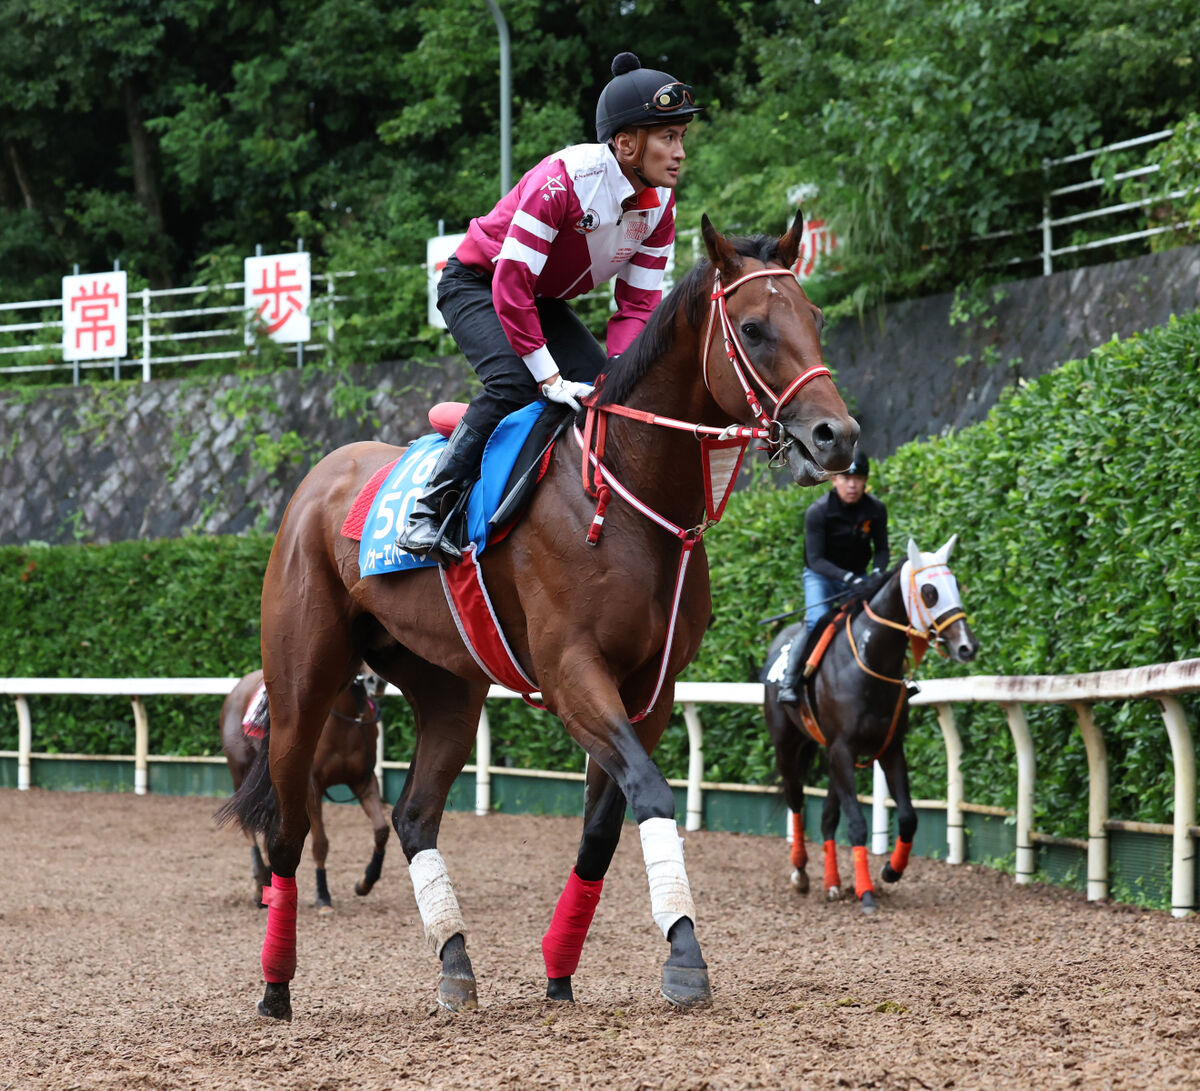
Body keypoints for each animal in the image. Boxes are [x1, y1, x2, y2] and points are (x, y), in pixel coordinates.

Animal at [216, 662, 384, 912]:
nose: (377, 681)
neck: (346, 721)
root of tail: (238, 688)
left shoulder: (363, 780)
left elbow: (381, 830)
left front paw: (365, 882)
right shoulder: (312, 786)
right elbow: (321, 843)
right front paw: (323, 896)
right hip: (241, 774)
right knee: (248, 823)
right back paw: (260, 886)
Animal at [763, 535, 979, 912]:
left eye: (955, 583)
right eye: (929, 591)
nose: (967, 646)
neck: (868, 661)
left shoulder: (889, 748)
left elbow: (908, 818)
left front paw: (891, 871)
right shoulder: (843, 749)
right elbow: (858, 824)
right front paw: (865, 892)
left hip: (830, 757)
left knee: (827, 817)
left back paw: (833, 883)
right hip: (788, 746)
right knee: (796, 800)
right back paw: (801, 872)